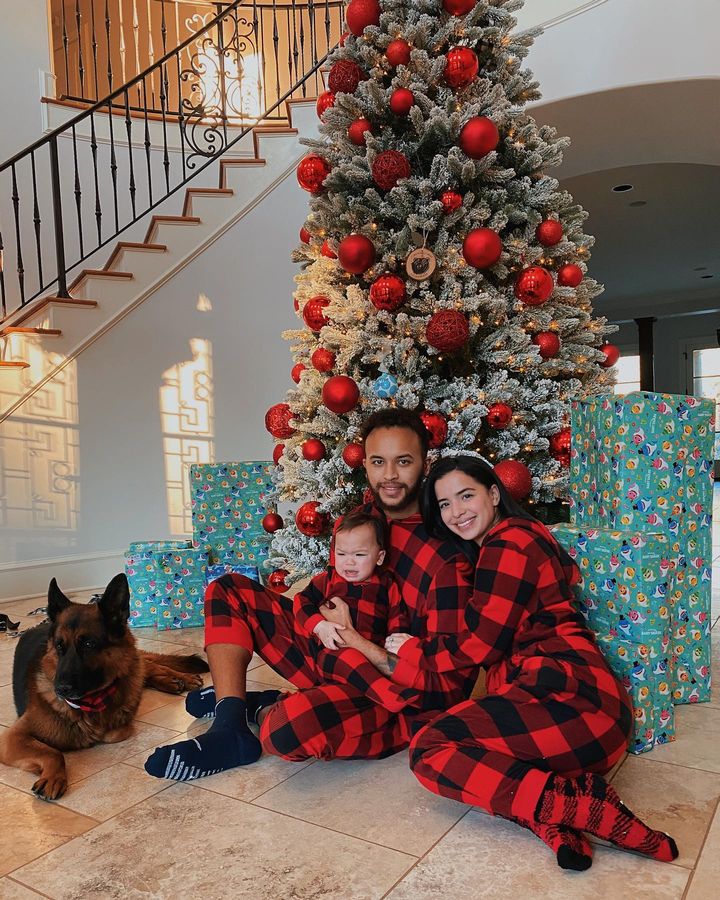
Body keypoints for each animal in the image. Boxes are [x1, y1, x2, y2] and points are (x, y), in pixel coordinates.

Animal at [0, 572, 208, 800]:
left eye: (88, 644)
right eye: (59, 646)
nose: (60, 689)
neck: (89, 704)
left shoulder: (118, 726)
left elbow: (111, 732)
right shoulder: (12, 738)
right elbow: (53, 752)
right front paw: (54, 776)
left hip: (133, 662)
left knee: (147, 664)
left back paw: (179, 678)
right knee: (147, 666)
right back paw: (171, 681)